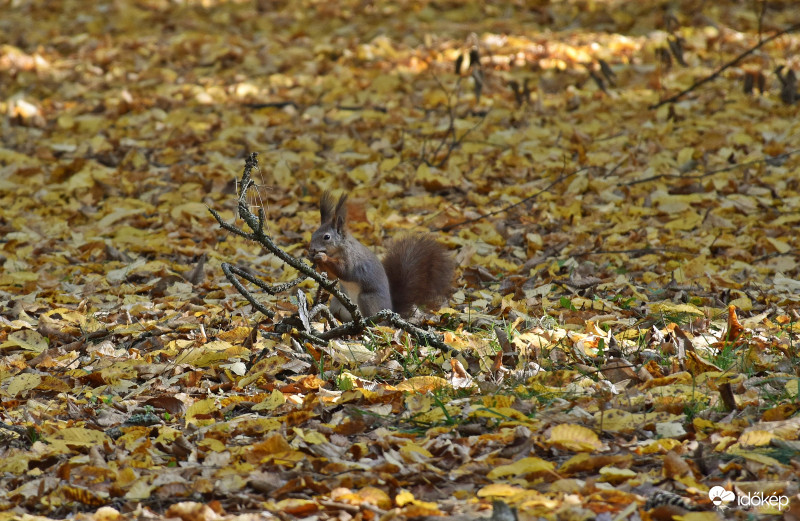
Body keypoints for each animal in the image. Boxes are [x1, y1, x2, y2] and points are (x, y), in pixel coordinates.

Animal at [308, 192, 454, 320]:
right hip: (338, 301)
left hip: (366, 299)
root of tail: (390, 311)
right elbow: (332, 276)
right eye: (313, 233)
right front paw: (313, 258)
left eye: (326, 237)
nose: (311, 248)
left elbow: (344, 271)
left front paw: (322, 257)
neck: (339, 249)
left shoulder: (352, 260)